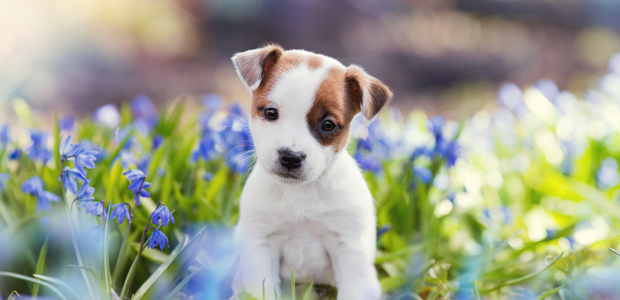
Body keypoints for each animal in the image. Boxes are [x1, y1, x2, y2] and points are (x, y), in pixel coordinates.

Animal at [230, 44, 394, 300]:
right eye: (271, 112)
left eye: (328, 125)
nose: (290, 157)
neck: (299, 193)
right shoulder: (261, 246)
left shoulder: (349, 249)